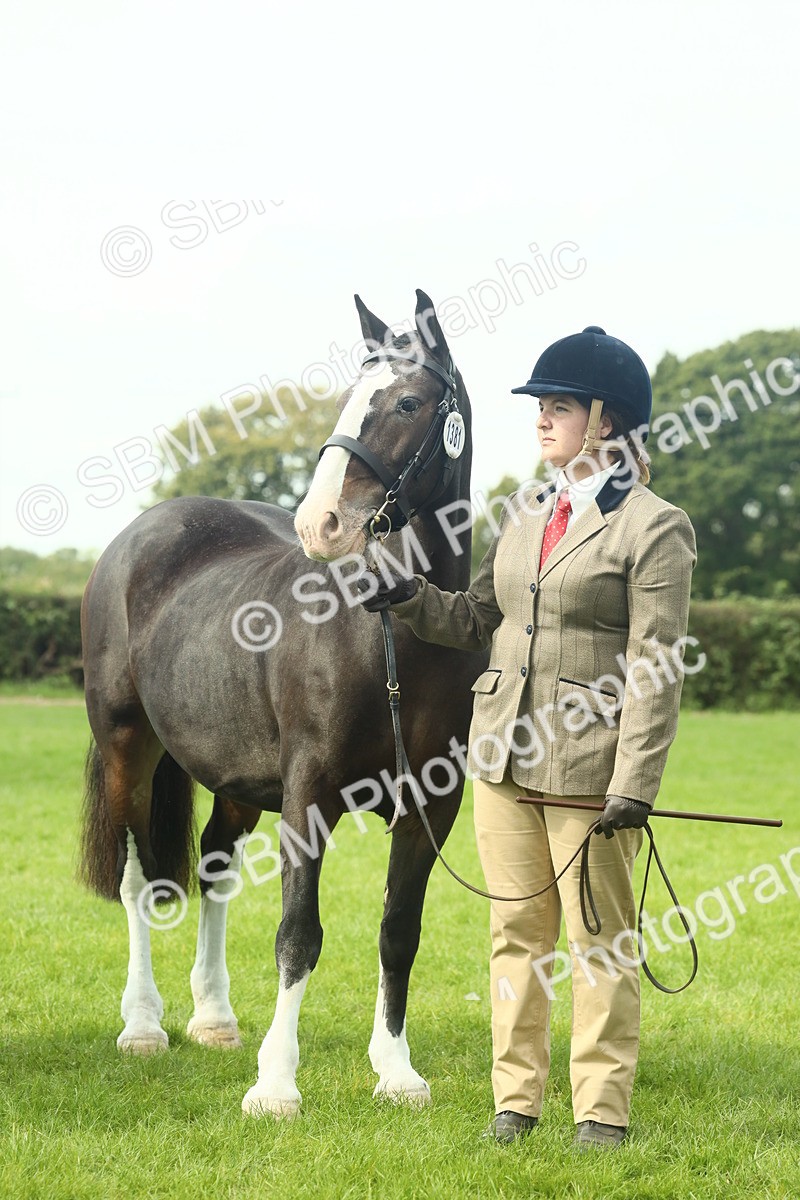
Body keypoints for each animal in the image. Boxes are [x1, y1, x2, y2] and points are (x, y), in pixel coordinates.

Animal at [80, 289, 484, 1116]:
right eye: (347, 399)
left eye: (407, 401)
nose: (320, 523)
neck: (392, 634)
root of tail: (142, 532)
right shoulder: (309, 794)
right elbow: (299, 933)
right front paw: (275, 1085)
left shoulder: (432, 802)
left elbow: (399, 930)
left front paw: (396, 1071)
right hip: (128, 749)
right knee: (137, 878)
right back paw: (143, 1025)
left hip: (235, 779)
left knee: (213, 868)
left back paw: (214, 1017)